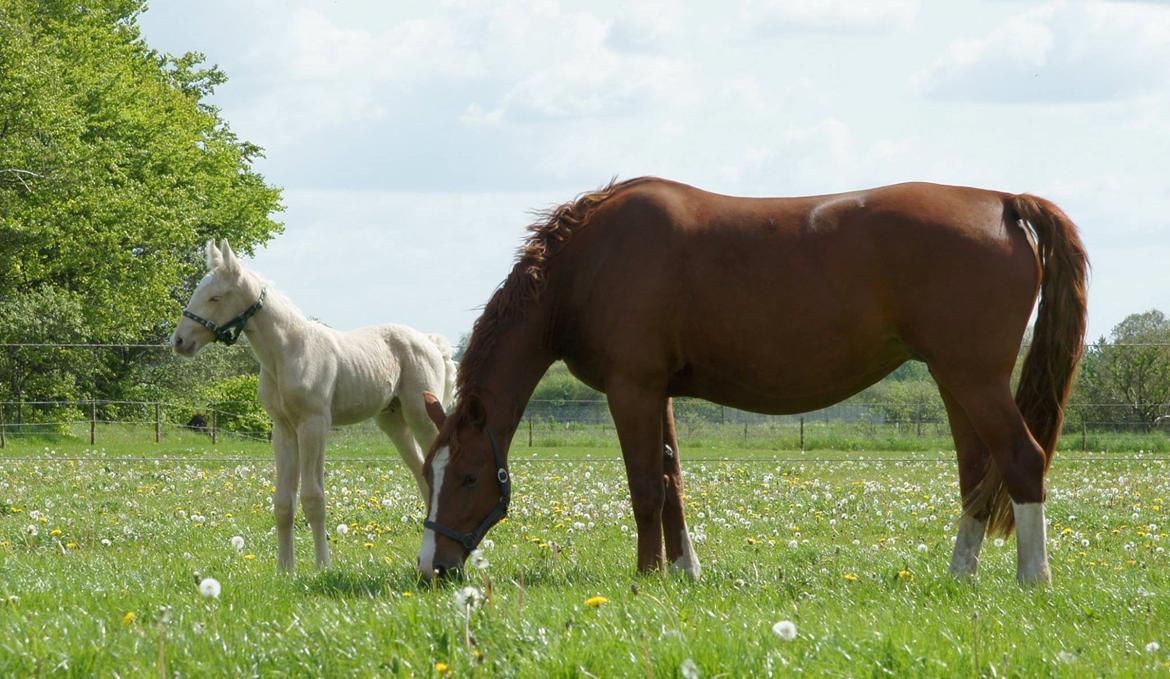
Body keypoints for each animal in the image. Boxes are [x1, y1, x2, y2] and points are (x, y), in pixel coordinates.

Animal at [170, 241, 453, 571]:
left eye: (215, 297)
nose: (179, 341)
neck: (287, 352)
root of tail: (431, 342)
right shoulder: (283, 429)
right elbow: (283, 501)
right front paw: (285, 569)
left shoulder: (314, 425)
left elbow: (313, 497)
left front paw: (322, 567)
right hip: (393, 421)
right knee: (422, 473)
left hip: (421, 416)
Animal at [414, 177, 1085, 585]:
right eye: (429, 474)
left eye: (469, 476)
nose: (432, 568)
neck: (589, 262)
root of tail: (1003, 201)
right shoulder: (658, 393)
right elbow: (673, 483)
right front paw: (685, 573)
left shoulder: (633, 389)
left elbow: (646, 490)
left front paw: (647, 578)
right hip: (956, 381)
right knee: (976, 476)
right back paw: (960, 577)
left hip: (976, 381)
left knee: (1021, 460)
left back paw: (1034, 580)